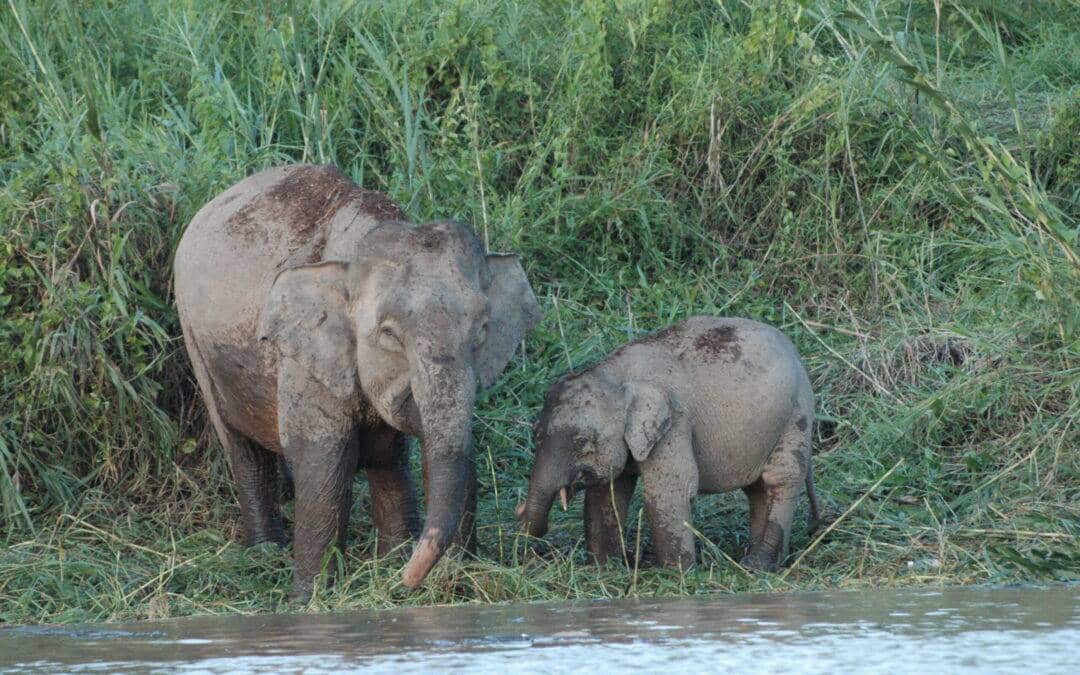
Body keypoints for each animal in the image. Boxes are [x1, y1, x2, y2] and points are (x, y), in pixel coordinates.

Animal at [174, 163, 540, 596]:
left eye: (482, 330)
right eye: (389, 335)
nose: (408, 582)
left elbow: (406, 452)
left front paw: (436, 571)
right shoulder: (304, 357)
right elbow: (324, 458)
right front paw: (310, 598)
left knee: (384, 456)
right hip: (196, 343)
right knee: (243, 449)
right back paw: (265, 552)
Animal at [514, 315, 816, 570]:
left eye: (581, 442)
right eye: (536, 434)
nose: (522, 518)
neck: (616, 375)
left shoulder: (675, 423)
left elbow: (669, 489)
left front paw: (678, 573)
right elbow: (606, 493)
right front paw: (604, 568)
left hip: (796, 414)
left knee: (780, 477)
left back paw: (757, 566)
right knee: (758, 489)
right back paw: (765, 560)